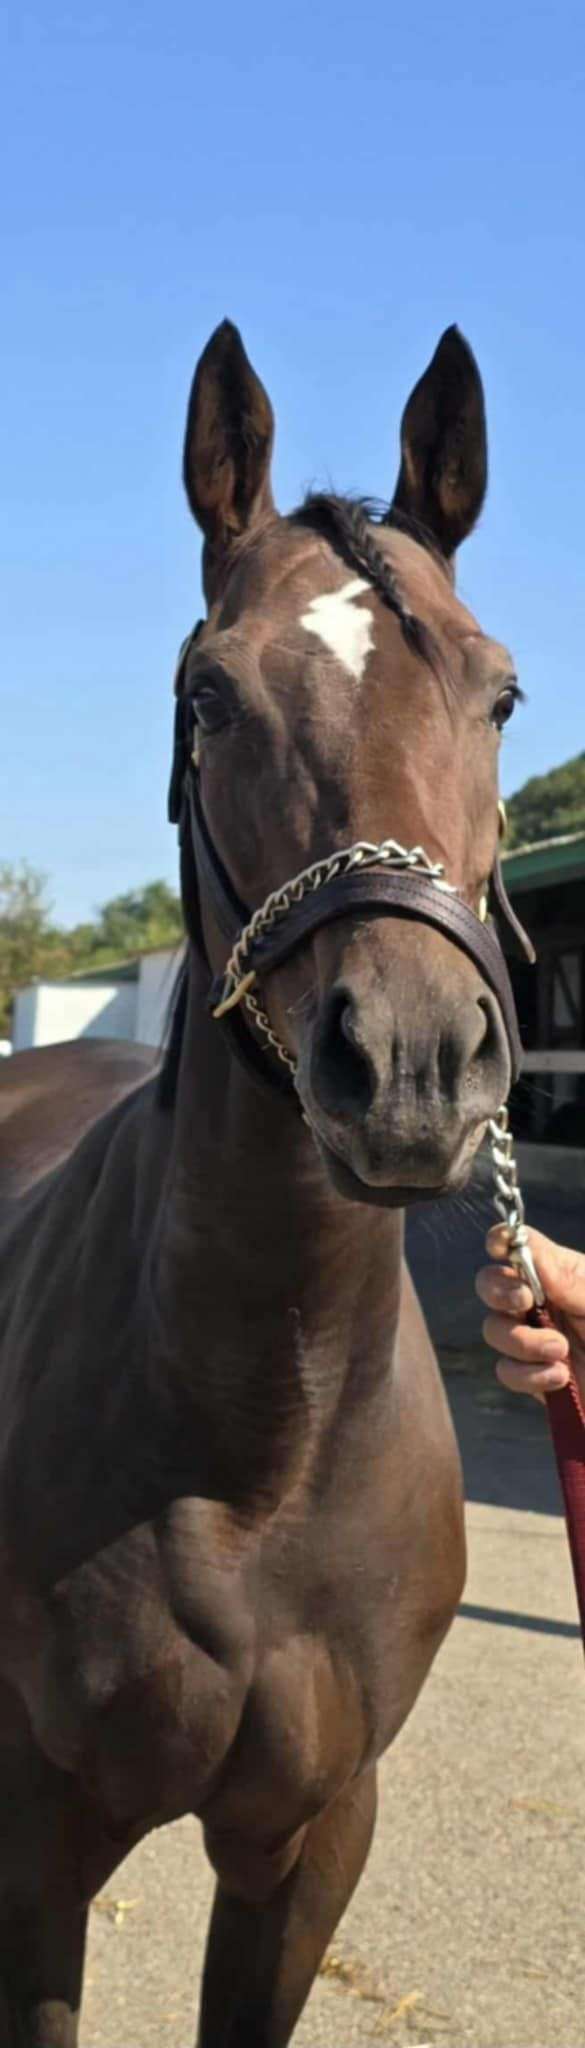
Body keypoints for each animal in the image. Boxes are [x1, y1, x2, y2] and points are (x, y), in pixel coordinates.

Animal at [0, 319, 528, 2046]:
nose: (413, 1066)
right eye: (209, 695)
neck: (261, 1434)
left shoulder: (309, 1842)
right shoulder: (40, 1835)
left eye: (501, 692)